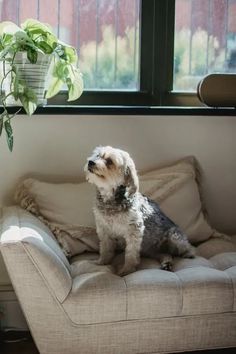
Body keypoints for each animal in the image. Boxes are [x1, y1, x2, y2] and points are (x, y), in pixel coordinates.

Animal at [84, 145, 195, 276]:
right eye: (97, 155)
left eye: (110, 161)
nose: (91, 162)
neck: (110, 199)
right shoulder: (103, 229)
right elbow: (105, 248)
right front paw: (102, 262)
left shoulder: (134, 230)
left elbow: (131, 253)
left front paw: (127, 270)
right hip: (152, 251)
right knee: (166, 254)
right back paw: (166, 263)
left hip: (175, 236)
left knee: (190, 248)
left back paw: (188, 254)